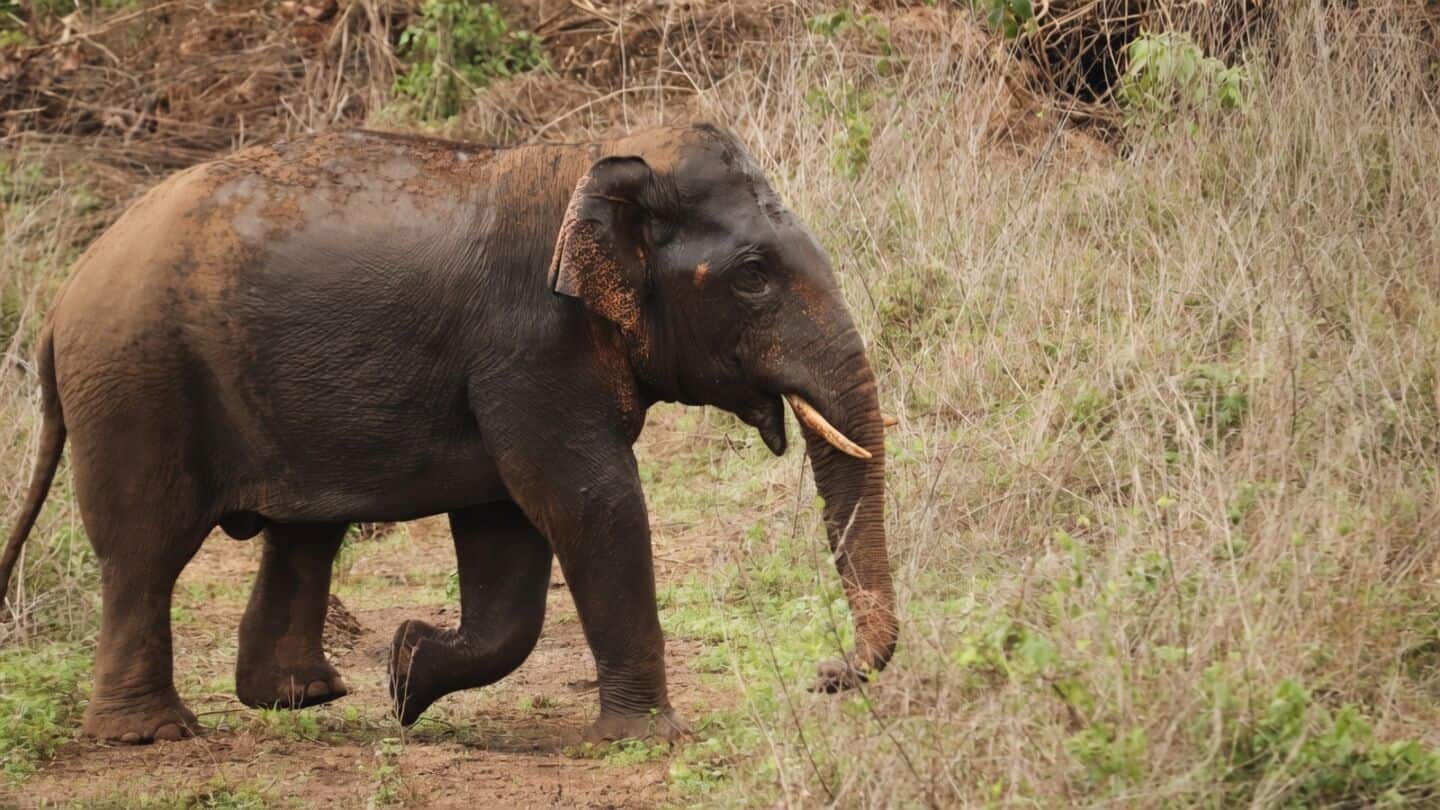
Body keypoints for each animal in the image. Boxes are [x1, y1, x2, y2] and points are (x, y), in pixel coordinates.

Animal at [0, 124, 897, 745]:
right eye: (753, 275)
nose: (826, 673)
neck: (594, 160)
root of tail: (65, 296)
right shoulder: (529, 347)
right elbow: (587, 500)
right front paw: (650, 739)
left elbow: (509, 532)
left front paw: (406, 671)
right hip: (138, 385)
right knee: (144, 550)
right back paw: (153, 734)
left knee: (302, 534)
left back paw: (304, 696)